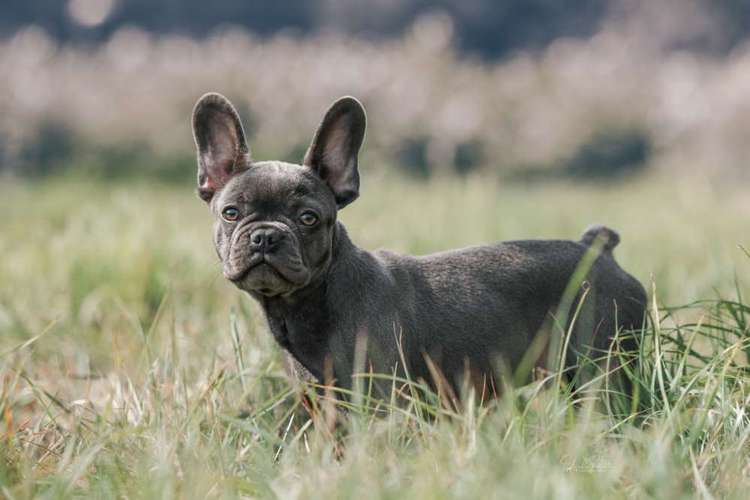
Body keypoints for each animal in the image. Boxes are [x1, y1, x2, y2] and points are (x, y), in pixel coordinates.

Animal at [191, 93, 648, 398]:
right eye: (231, 213)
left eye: (308, 219)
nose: (266, 234)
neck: (309, 302)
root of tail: (599, 250)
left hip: (603, 368)